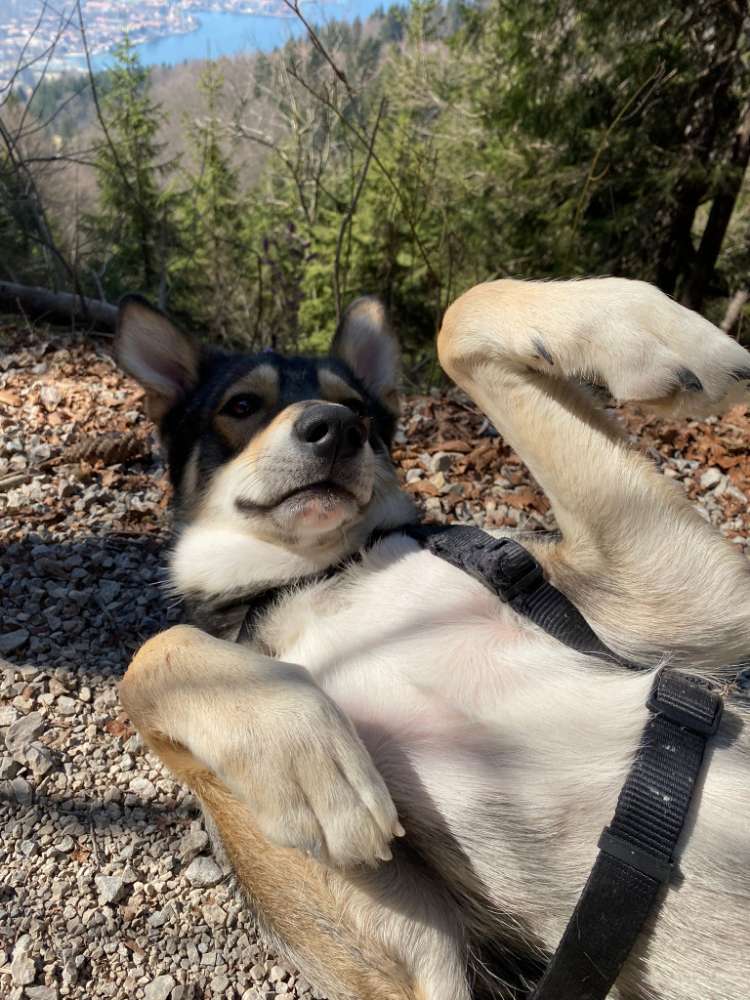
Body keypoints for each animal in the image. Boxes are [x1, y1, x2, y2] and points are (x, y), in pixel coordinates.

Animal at [114, 280, 750, 1000]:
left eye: (358, 407)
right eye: (242, 405)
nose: (337, 427)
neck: (312, 576)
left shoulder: (684, 598)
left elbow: (465, 308)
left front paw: (660, 334)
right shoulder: (417, 950)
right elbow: (150, 657)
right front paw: (307, 760)